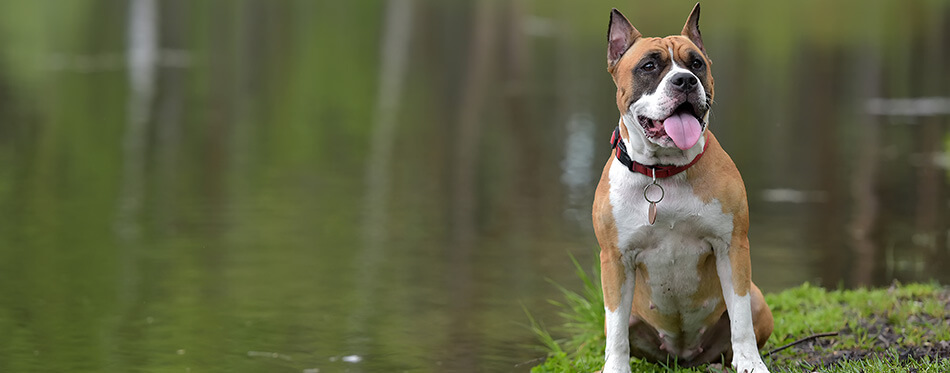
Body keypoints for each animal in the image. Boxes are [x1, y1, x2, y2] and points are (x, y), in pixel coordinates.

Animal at [600, 3, 776, 372]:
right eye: (648, 66)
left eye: (696, 63)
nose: (685, 80)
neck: (663, 172)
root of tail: (683, 355)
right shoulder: (615, 259)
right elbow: (617, 330)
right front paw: (615, 367)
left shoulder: (732, 247)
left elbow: (740, 318)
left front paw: (751, 363)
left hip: (757, 299)